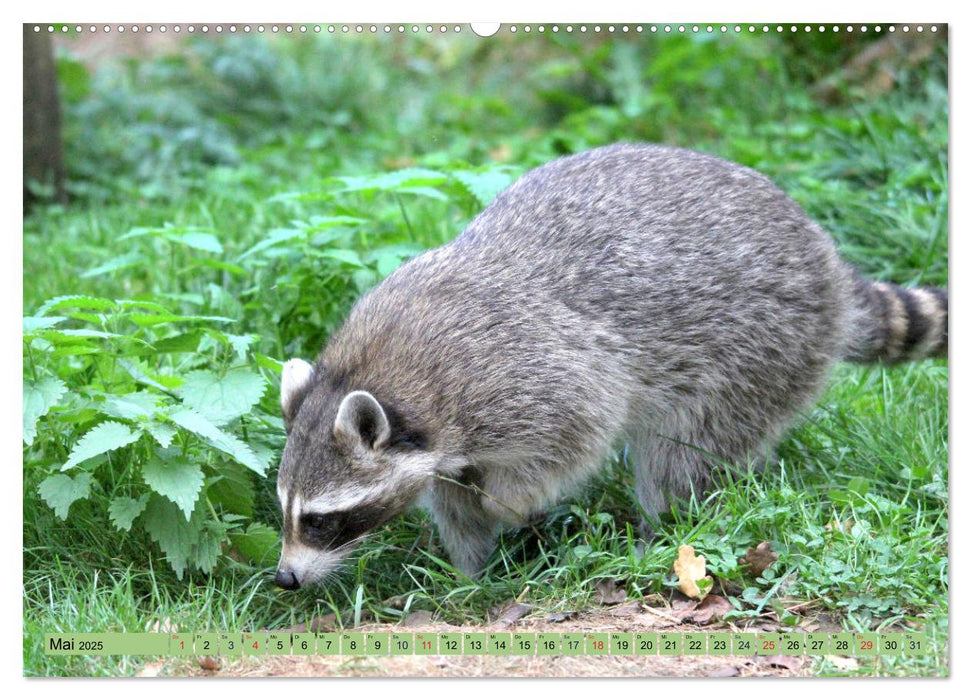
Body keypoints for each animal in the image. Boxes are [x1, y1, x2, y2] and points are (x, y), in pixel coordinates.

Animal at [274, 144, 948, 592]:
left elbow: (576, 432)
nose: (284, 579)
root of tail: (827, 260)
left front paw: (507, 507)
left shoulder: (531, 374)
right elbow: (451, 498)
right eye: (284, 509)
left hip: (761, 344)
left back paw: (662, 528)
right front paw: (468, 566)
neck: (382, 367)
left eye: (321, 521)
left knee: (684, 454)